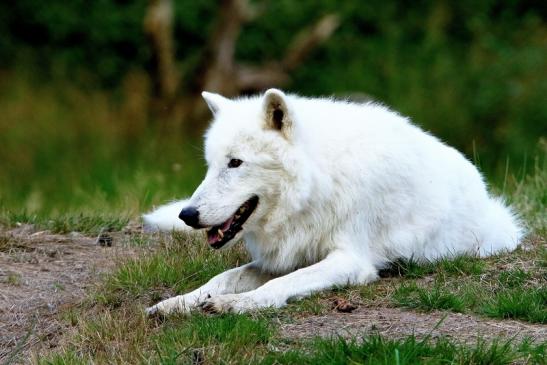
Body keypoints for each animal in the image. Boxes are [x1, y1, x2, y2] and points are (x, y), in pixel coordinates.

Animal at [143, 89, 524, 316]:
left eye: (235, 163)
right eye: (210, 165)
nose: (187, 214)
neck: (318, 183)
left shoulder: (350, 260)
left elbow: (280, 284)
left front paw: (240, 303)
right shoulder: (287, 254)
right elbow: (221, 278)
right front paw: (176, 302)